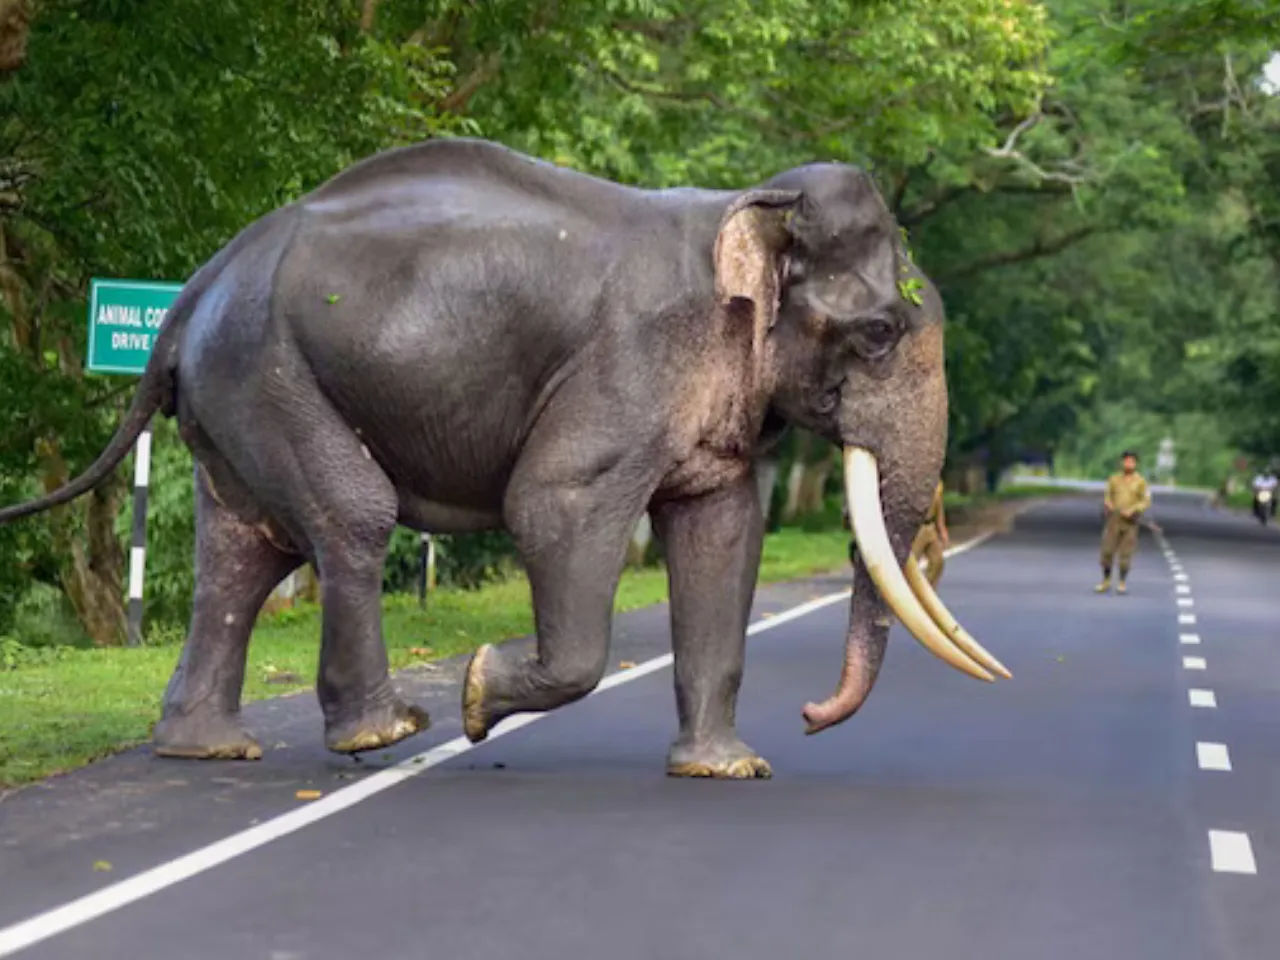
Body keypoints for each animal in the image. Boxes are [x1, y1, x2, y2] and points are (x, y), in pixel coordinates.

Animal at [0, 137, 1009, 778]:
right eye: (880, 333)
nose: (810, 722)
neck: (745, 204)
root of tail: (194, 288)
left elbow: (722, 534)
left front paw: (728, 770)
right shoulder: (629, 364)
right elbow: (553, 503)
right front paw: (479, 695)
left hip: (237, 393)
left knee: (243, 553)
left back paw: (208, 748)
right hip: (269, 372)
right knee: (349, 517)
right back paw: (385, 731)